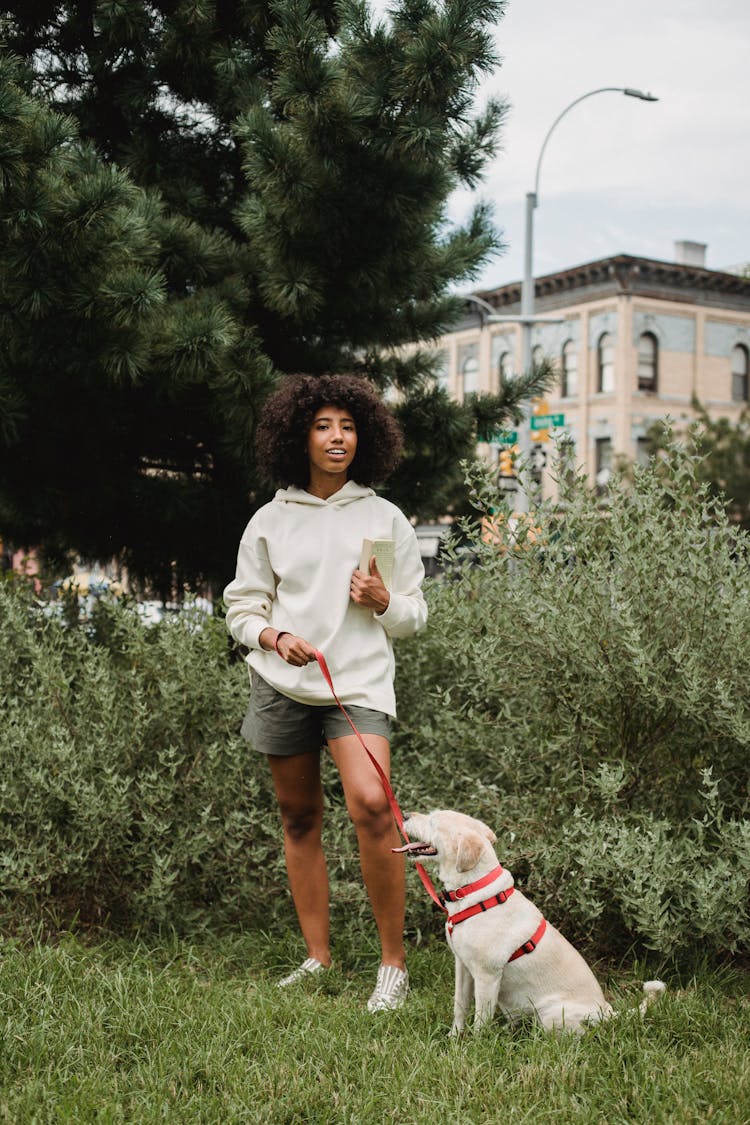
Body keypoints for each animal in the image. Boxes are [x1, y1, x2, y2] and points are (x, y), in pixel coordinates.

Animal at [395, 810, 665, 1035]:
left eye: (433, 821)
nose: (405, 814)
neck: (473, 891)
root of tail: (608, 1014)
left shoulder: (486, 975)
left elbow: (481, 1019)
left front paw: (474, 1046)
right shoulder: (462, 966)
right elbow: (460, 1007)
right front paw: (454, 1038)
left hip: (552, 1016)